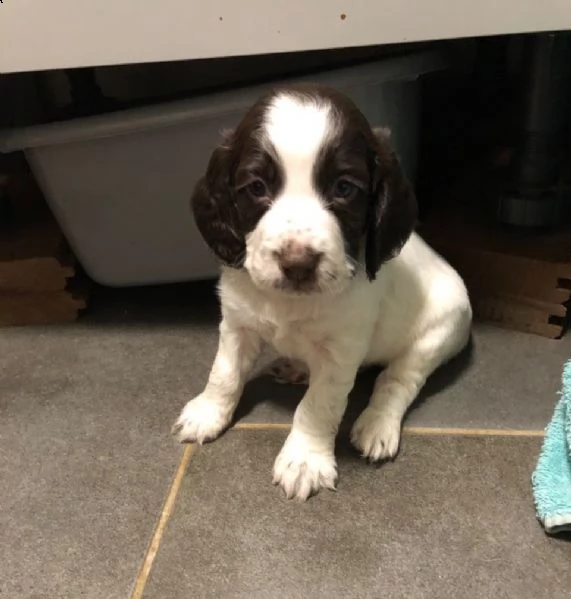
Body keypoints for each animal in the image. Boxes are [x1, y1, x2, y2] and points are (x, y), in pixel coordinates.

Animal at [173, 84, 474, 502]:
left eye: (344, 188)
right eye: (257, 187)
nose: (297, 264)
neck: (290, 304)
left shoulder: (341, 351)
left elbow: (318, 405)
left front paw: (304, 460)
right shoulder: (237, 324)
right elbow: (224, 373)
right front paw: (207, 413)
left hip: (437, 336)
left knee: (396, 381)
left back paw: (377, 425)